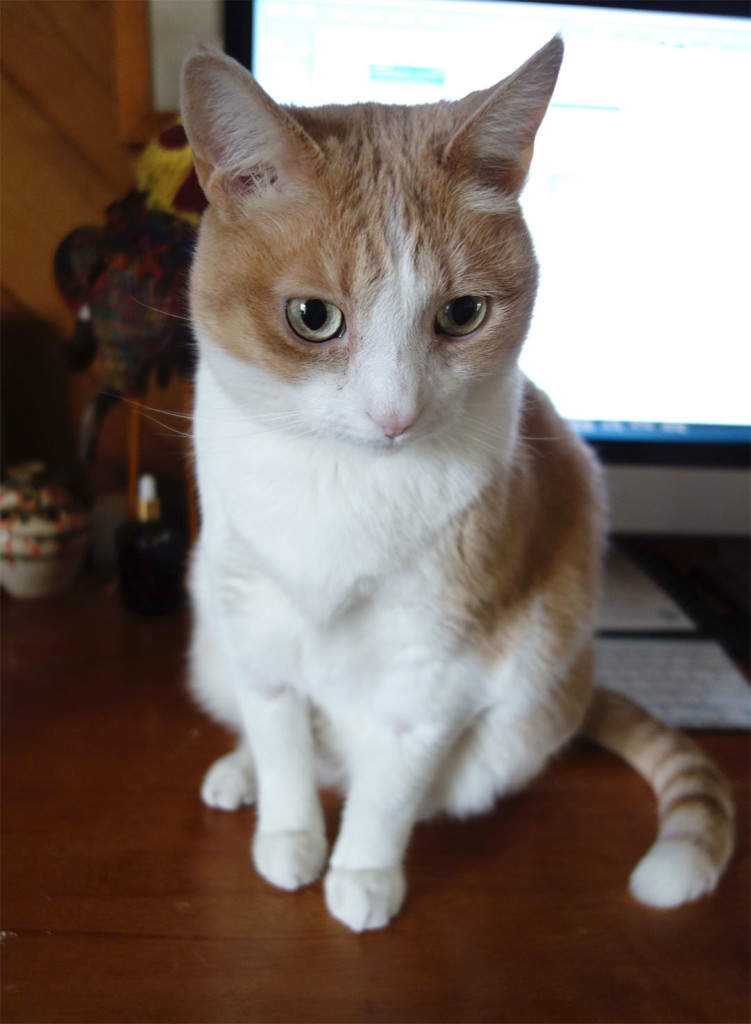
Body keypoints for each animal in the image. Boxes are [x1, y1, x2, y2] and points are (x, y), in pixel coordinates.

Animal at [180, 39, 733, 933]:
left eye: (463, 313)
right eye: (311, 317)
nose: (394, 415)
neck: (342, 483)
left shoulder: (435, 662)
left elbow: (387, 784)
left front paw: (363, 874)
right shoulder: (252, 622)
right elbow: (283, 742)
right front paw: (289, 836)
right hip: (209, 637)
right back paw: (239, 773)